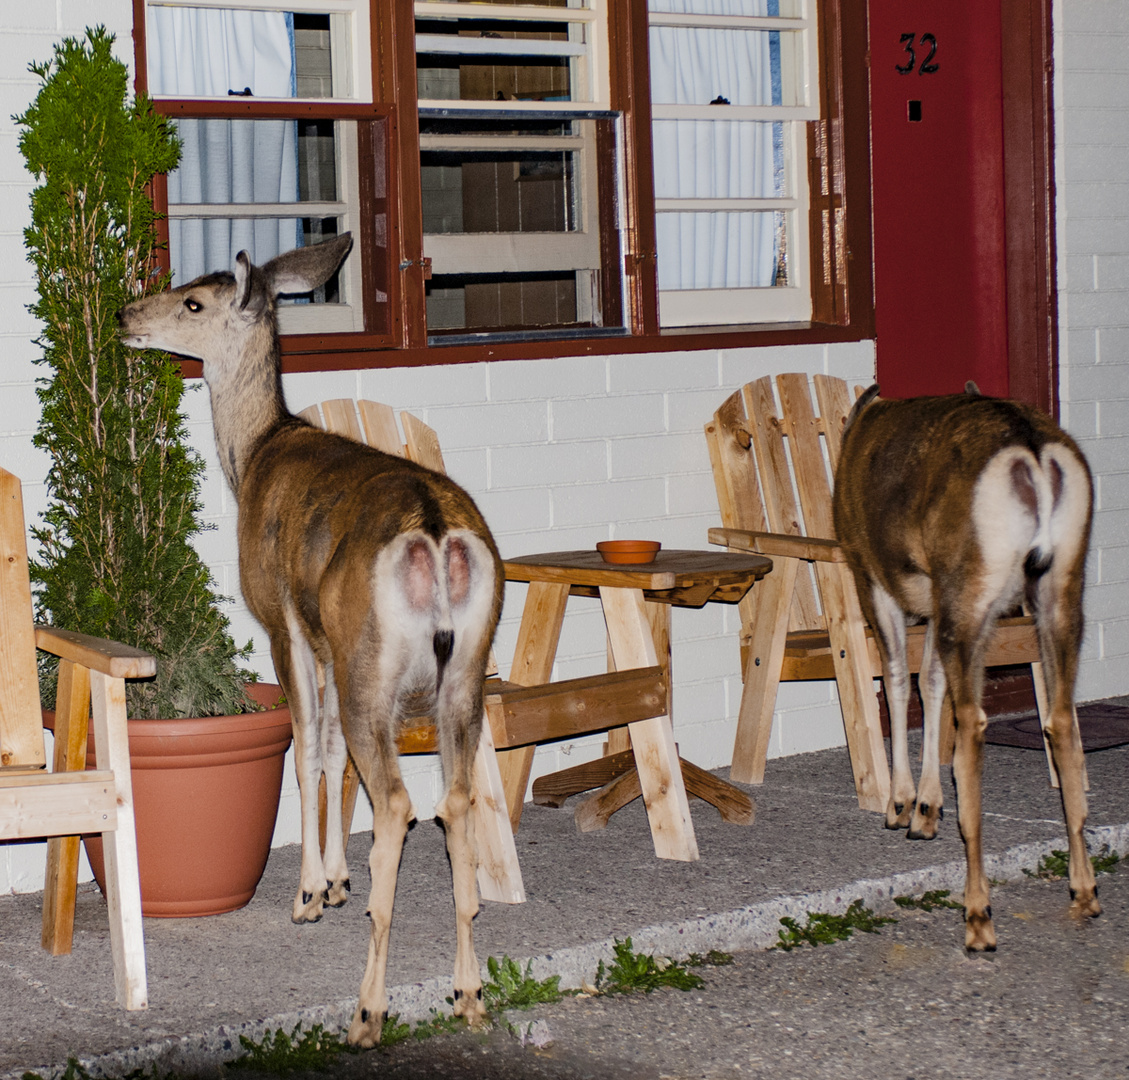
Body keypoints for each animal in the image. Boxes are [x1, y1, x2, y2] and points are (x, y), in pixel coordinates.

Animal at [116, 231, 501, 1042]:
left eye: (193, 302)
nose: (125, 314)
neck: (258, 448)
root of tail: (434, 533)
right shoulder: (325, 638)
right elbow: (328, 755)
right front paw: (336, 880)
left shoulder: (284, 619)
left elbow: (303, 748)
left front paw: (308, 894)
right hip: (461, 672)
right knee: (452, 801)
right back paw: (469, 994)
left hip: (371, 666)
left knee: (399, 803)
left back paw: (368, 1010)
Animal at [835, 383, 1097, 947]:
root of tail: (1033, 453)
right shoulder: (933, 596)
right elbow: (931, 680)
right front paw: (925, 808)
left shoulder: (871, 571)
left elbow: (897, 677)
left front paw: (901, 805)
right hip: (1063, 581)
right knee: (1061, 716)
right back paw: (1084, 891)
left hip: (969, 580)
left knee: (973, 725)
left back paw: (979, 915)